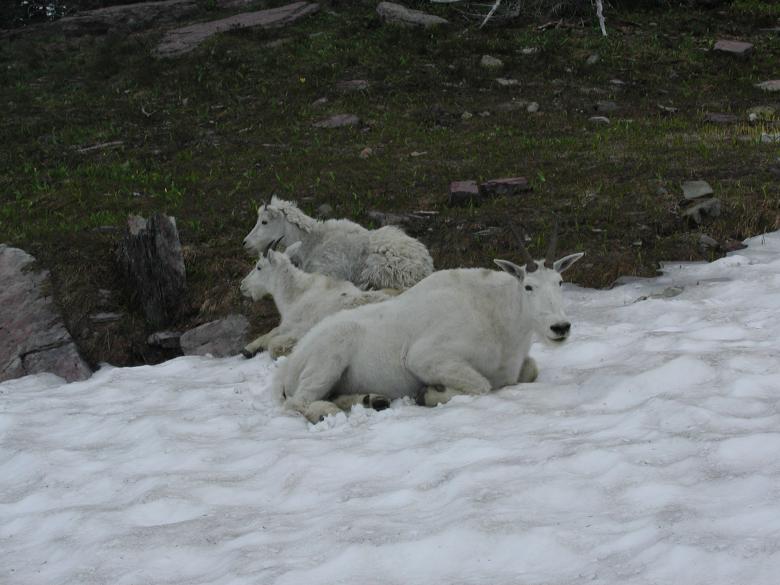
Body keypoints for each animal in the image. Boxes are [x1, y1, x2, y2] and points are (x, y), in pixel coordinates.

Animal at [240, 242, 393, 358]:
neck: (295, 296)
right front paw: (248, 349)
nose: (242, 285)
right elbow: (271, 332)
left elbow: (273, 343)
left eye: (259, 267)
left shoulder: (300, 327)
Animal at [272, 225, 584, 423]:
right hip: (328, 360)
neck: (497, 316)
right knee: (296, 402)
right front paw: (430, 393)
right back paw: (325, 412)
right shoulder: (425, 358)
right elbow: (482, 385)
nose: (560, 327)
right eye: (529, 286)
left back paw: (372, 400)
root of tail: (290, 364)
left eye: (559, 281)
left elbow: (530, 370)